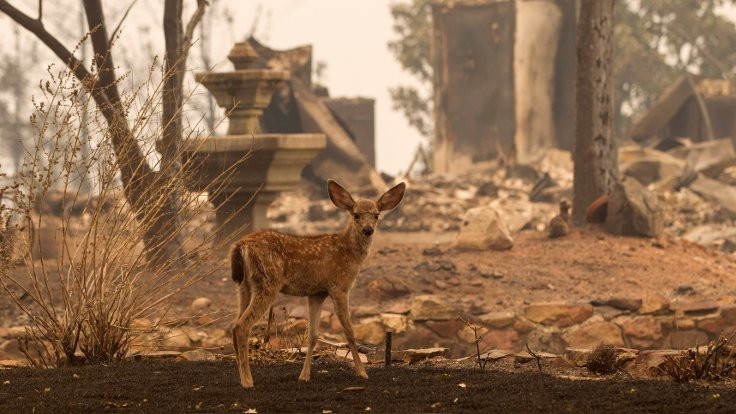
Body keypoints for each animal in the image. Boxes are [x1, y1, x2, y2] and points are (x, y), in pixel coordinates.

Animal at [229, 178, 406, 388]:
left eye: (377, 215)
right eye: (356, 215)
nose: (368, 230)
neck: (349, 251)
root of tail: (241, 246)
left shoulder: (316, 293)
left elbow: (313, 335)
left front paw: (304, 376)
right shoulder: (339, 286)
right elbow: (349, 331)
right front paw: (362, 373)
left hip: (244, 286)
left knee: (235, 325)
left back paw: (241, 377)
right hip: (267, 282)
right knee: (242, 326)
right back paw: (248, 381)